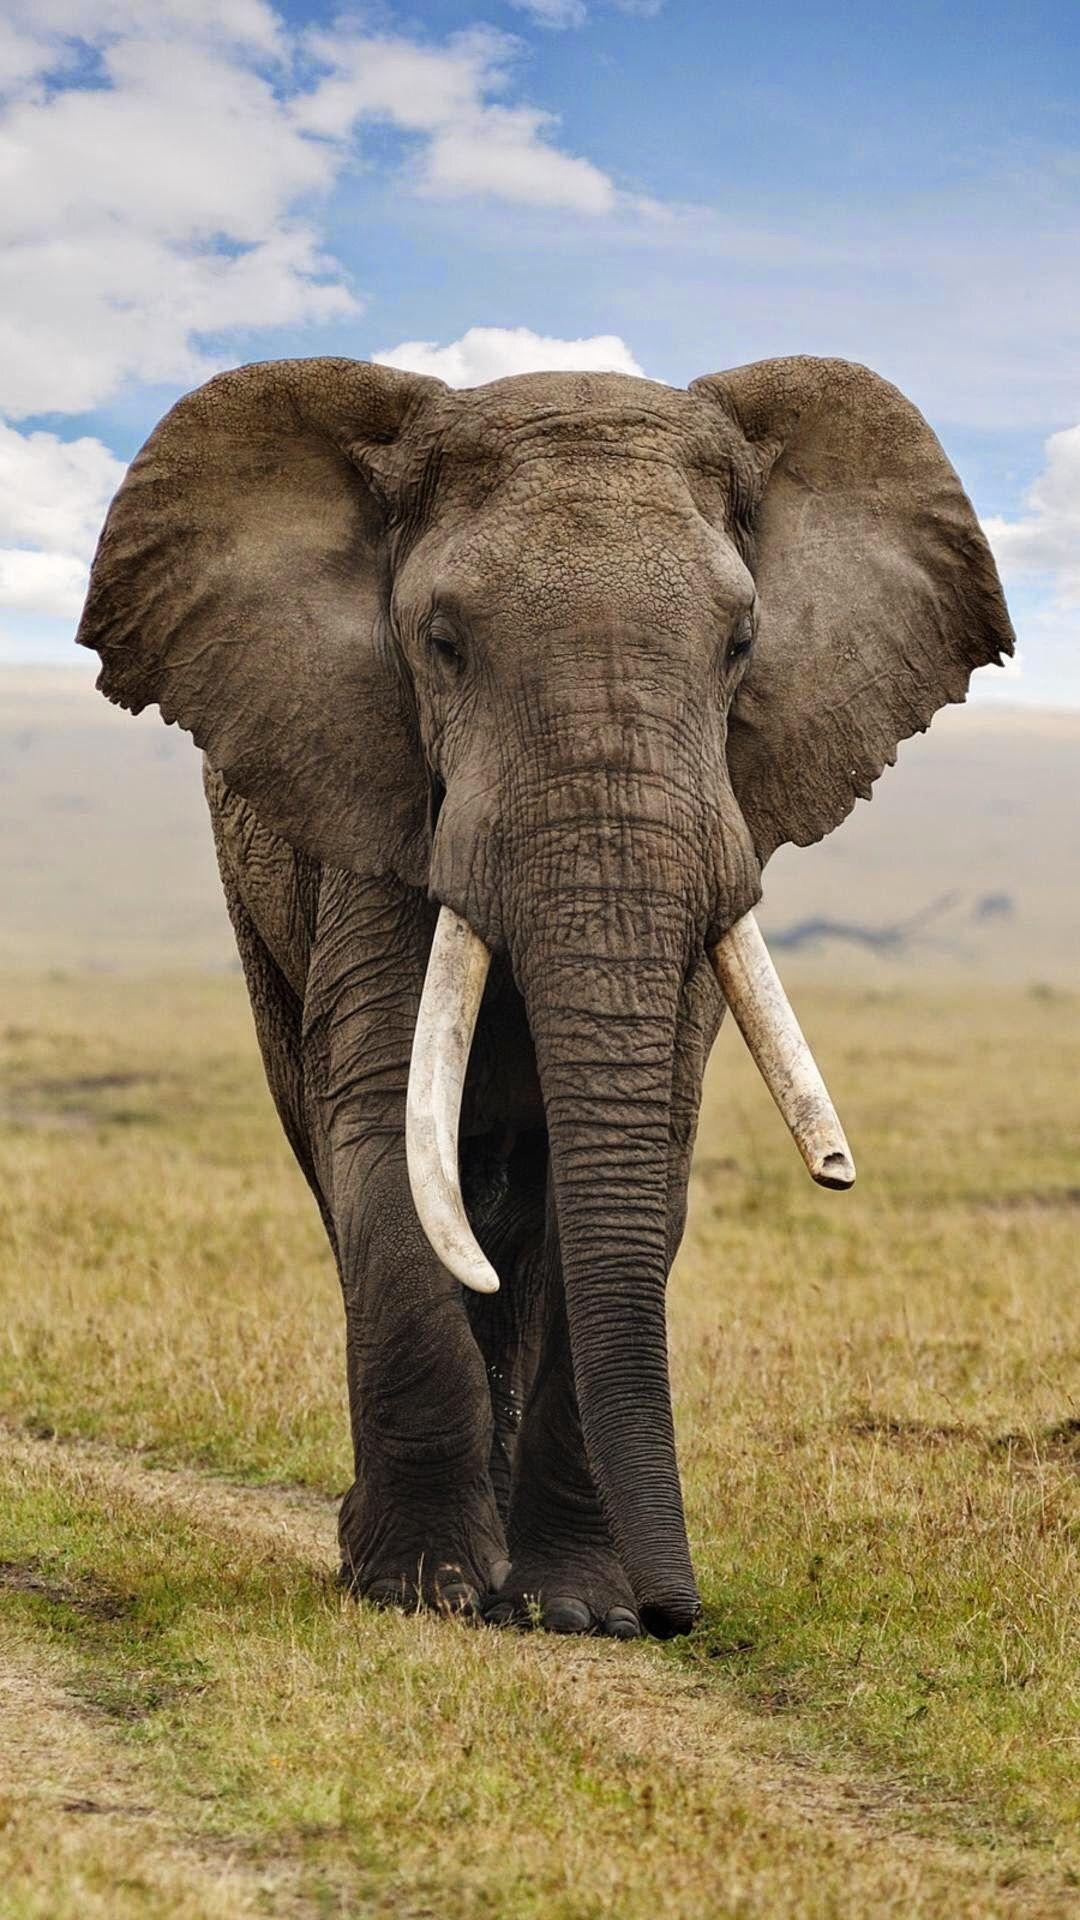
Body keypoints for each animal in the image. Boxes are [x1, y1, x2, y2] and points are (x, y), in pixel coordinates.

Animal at [76, 355, 1013, 1641]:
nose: (681, 1616)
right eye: (442, 642)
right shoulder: (378, 807)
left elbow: (635, 1164)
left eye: (742, 643)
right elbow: (387, 1138)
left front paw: (577, 1611)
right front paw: (420, 1591)